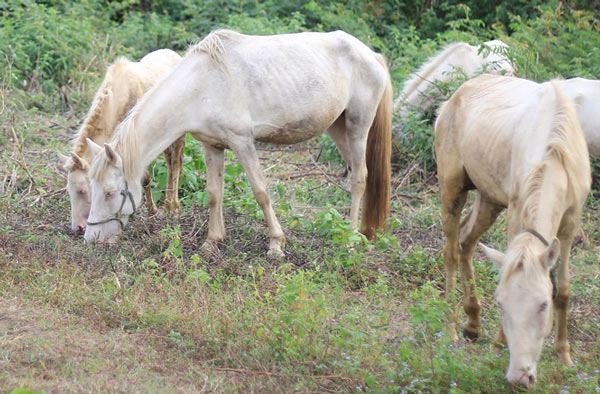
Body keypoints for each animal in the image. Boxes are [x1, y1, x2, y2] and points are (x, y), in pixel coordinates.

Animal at [60, 49, 185, 234]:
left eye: (82, 190)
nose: (77, 227)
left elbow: (144, 178)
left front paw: (152, 211)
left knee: (175, 164)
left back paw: (174, 208)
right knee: (170, 163)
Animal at [84, 29, 394, 258]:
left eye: (110, 193)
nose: (91, 237)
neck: (201, 86)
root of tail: (371, 54)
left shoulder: (242, 142)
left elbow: (261, 192)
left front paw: (276, 245)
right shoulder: (213, 146)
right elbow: (214, 194)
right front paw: (212, 242)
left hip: (357, 126)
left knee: (360, 179)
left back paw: (351, 239)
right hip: (338, 128)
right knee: (355, 173)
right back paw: (359, 232)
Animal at [434, 74, 592, 388]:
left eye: (543, 305)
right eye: (502, 304)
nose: (520, 377)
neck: (555, 152)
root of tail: (455, 96)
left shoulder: (570, 222)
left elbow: (564, 289)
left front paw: (564, 356)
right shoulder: (517, 213)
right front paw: (499, 343)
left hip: (489, 199)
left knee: (466, 242)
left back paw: (473, 323)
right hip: (453, 188)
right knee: (450, 252)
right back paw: (453, 327)